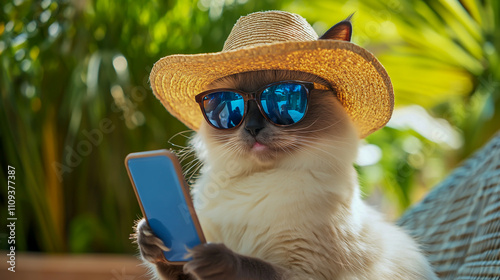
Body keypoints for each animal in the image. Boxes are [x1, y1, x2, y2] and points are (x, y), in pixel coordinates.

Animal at [134, 15, 438, 280]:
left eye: (282, 98)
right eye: (228, 105)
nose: (252, 128)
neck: (256, 184)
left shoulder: (301, 272)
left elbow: (252, 266)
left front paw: (212, 257)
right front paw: (148, 236)